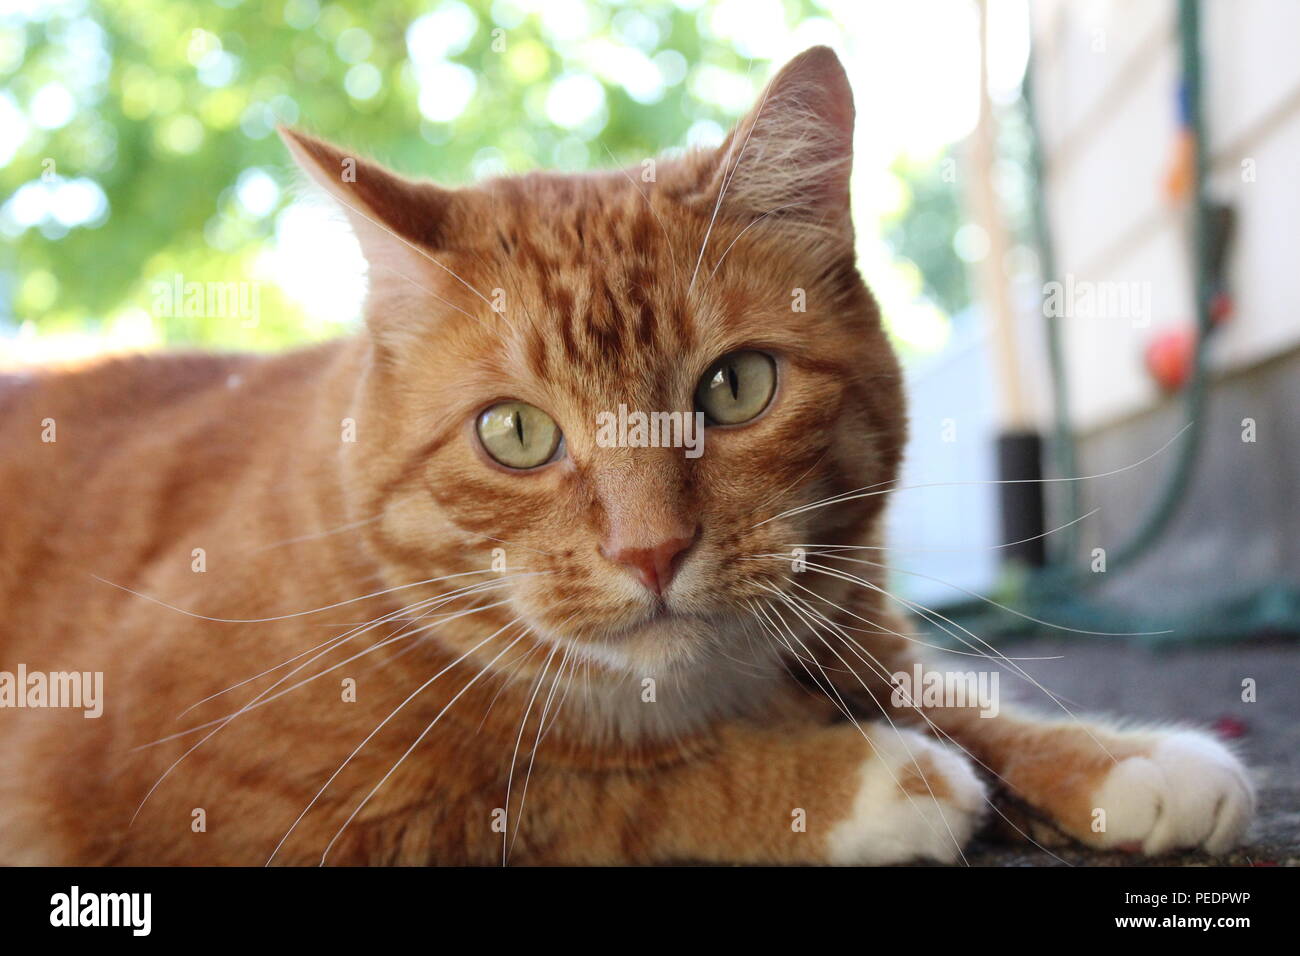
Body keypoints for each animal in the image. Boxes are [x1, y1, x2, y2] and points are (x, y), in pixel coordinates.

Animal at [2, 46, 1258, 868]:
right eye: (515, 432)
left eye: (736, 386)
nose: (651, 550)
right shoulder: (185, 790)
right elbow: (563, 785)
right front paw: (863, 779)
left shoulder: (858, 636)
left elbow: (962, 696)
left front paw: (1116, 761)